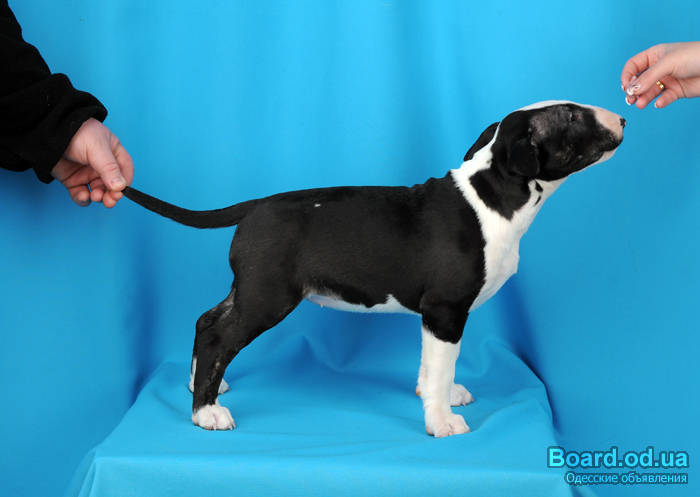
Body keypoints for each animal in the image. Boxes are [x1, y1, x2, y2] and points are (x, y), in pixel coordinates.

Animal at [123, 100, 624, 437]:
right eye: (571, 116)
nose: (621, 118)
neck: (493, 195)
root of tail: (255, 208)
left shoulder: (434, 317)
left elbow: (432, 365)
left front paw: (438, 397)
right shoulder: (446, 310)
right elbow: (442, 364)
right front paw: (442, 421)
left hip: (250, 287)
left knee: (207, 320)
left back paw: (202, 385)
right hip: (269, 295)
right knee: (218, 336)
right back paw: (205, 412)